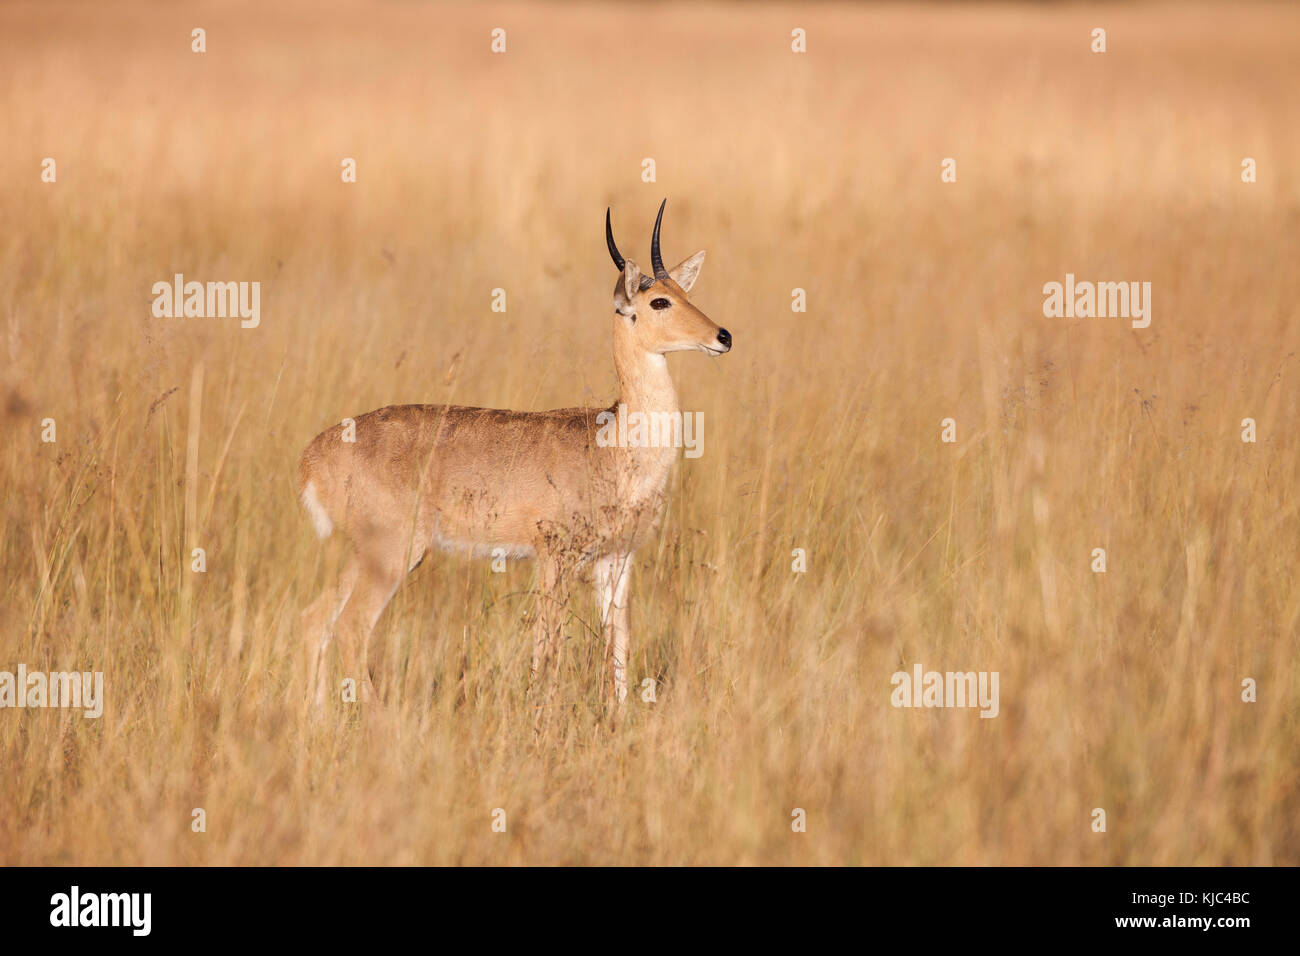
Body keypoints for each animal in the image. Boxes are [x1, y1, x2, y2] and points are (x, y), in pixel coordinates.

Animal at [297, 200, 738, 712]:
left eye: (683, 292)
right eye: (659, 302)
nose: (723, 336)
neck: (615, 443)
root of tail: (312, 456)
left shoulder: (617, 559)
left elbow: (619, 645)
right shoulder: (555, 558)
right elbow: (548, 644)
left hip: (363, 554)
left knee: (316, 620)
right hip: (392, 552)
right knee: (350, 628)